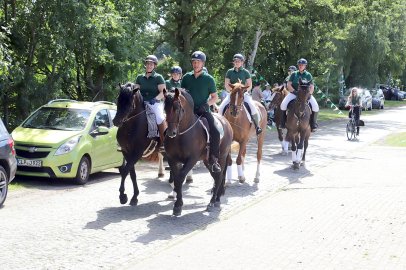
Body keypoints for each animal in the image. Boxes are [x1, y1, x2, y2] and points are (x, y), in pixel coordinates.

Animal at [162, 88, 232, 217]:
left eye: (177, 108)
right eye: (165, 107)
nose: (170, 132)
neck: (182, 134)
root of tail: (226, 122)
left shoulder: (192, 159)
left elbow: (180, 177)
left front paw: (178, 205)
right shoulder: (172, 159)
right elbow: (177, 179)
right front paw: (177, 204)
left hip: (222, 156)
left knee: (219, 176)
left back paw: (212, 202)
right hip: (207, 160)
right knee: (215, 176)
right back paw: (217, 199)